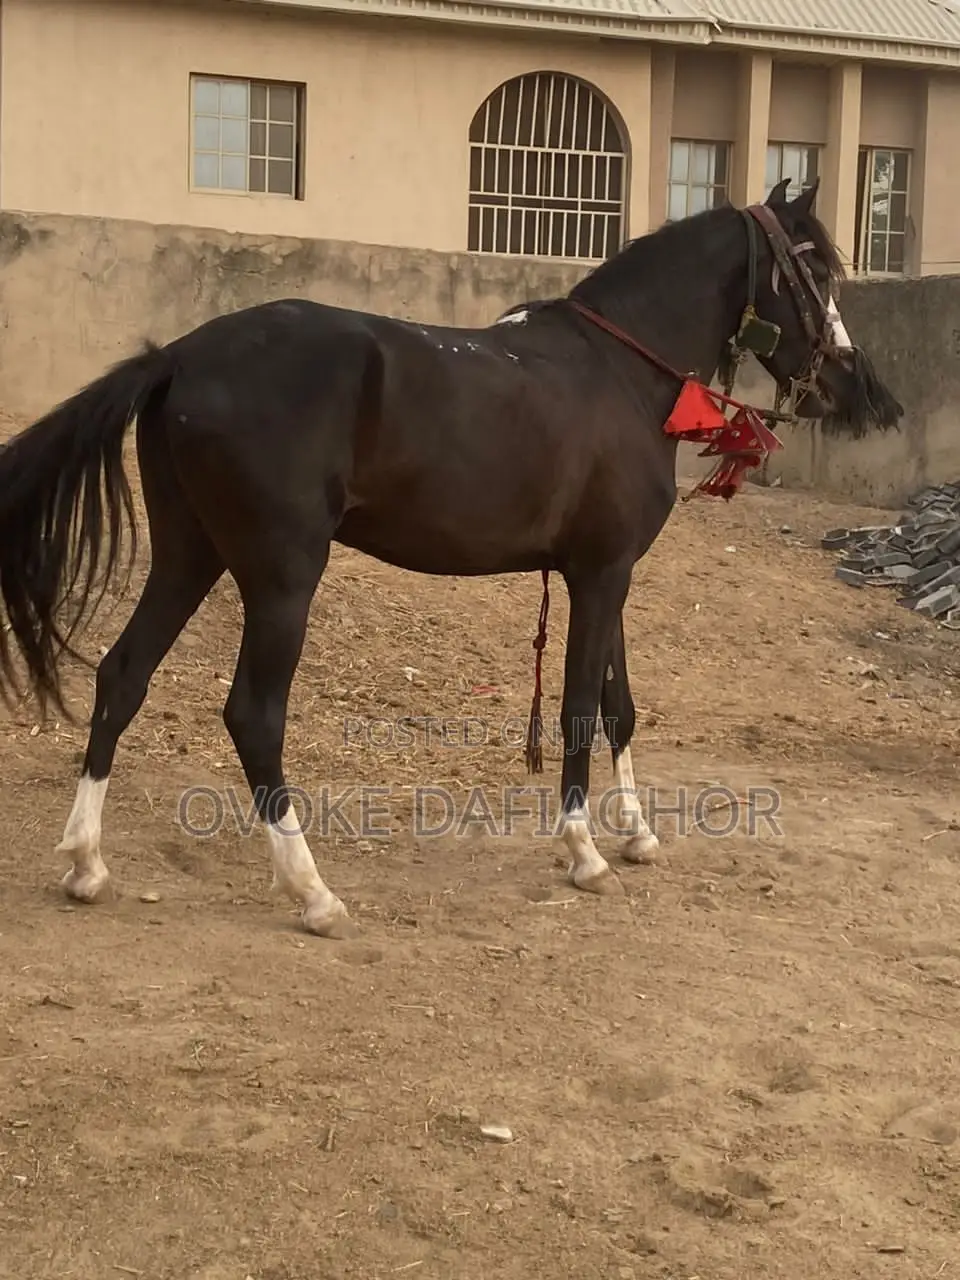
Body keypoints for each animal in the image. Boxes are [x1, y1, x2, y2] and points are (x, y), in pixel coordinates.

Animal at [0, 176, 902, 939]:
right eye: (816, 266)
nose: (859, 386)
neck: (620, 373)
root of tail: (180, 355)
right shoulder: (599, 576)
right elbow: (581, 706)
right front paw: (583, 853)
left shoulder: (604, 575)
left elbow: (619, 705)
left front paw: (638, 834)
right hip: (281, 576)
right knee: (253, 714)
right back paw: (313, 892)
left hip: (190, 556)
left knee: (122, 676)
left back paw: (86, 864)